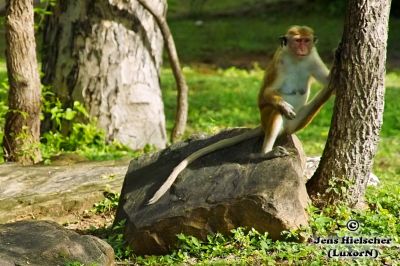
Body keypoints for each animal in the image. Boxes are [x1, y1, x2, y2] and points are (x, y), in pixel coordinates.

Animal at [148, 25, 332, 204]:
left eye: (306, 40)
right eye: (298, 41)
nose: (303, 48)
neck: (297, 59)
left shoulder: (313, 58)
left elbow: (328, 80)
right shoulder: (279, 62)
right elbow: (266, 93)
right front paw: (283, 105)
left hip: (298, 122)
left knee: (323, 96)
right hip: (267, 117)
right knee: (274, 112)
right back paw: (266, 151)